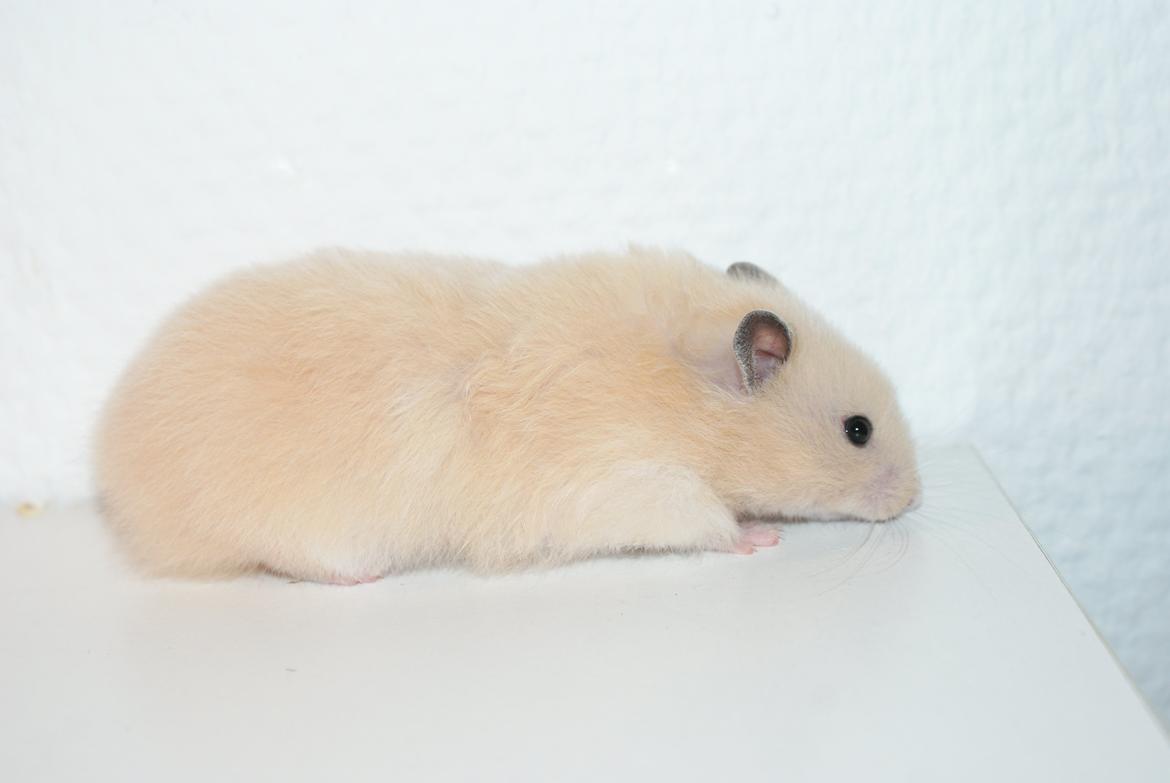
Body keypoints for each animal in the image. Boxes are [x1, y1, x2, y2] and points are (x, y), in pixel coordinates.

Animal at [95, 246, 920, 583]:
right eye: (858, 430)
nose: (914, 499)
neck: (687, 393)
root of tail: (116, 469)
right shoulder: (637, 483)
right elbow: (708, 520)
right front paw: (761, 534)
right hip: (303, 523)